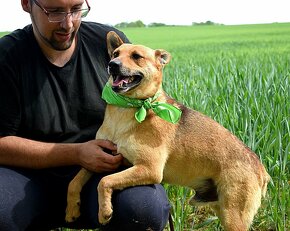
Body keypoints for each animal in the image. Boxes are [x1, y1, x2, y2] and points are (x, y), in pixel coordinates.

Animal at [65, 31, 270, 231]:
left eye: (136, 56)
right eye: (115, 54)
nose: (112, 65)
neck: (128, 108)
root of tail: (261, 169)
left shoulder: (150, 169)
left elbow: (104, 181)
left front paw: (105, 211)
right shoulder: (104, 155)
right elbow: (75, 180)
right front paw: (72, 209)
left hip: (233, 216)